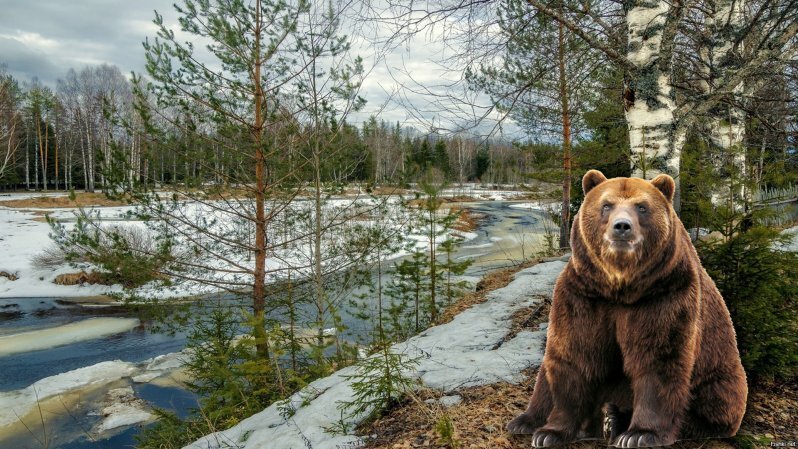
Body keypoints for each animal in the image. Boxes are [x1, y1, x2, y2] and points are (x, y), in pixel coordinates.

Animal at [506, 170, 752, 446]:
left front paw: (640, 433)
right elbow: (574, 355)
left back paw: (617, 419)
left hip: (720, 373)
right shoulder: (584, 296)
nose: (622, 226)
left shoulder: (664, 296)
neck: (620, 287)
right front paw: (550, 432)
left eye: (642, 207)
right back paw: (528, 420)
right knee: (546, 377)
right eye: (606, 205)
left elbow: (658, 359)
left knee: (713, 399)